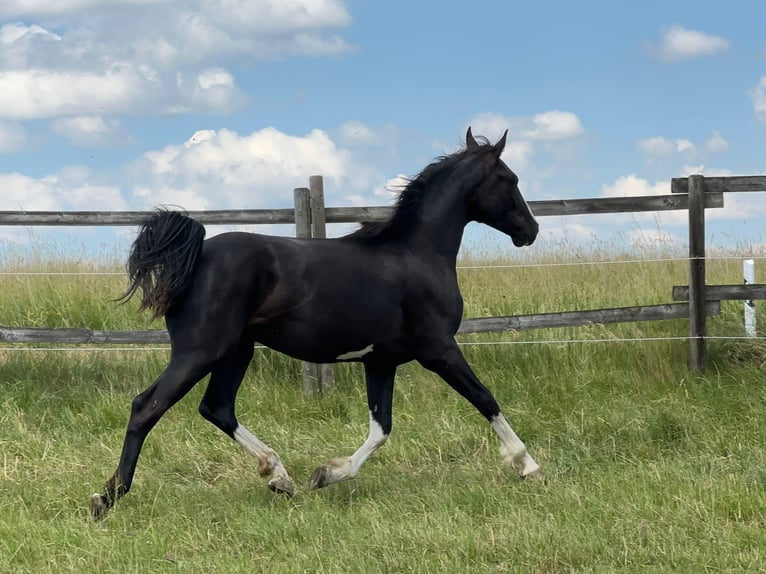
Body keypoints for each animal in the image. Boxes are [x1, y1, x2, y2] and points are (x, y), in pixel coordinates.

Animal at [88, 127, 544, 520]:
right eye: (509, 178)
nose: (532, 230)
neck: (417, 254)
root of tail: (196, 254)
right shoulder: (439, 348)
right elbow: (485, 399)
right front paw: (528, 466)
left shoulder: (381, 361)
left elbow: (381, 427)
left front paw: (326, 474)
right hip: (200, 351)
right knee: (147, 406)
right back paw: (106, 497)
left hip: (236, 351)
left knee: (216, 407)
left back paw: (279, 476)